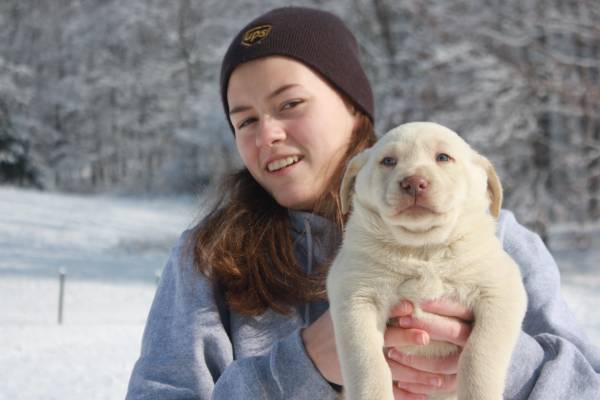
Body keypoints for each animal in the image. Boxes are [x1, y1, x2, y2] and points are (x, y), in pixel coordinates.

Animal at [326, 122, 528, 400]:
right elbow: (368, 363)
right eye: (388, 161)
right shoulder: (355, 298)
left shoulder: (500, 294)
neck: (423, 250)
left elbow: (479, 355)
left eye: (443, 157)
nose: (413, 182)